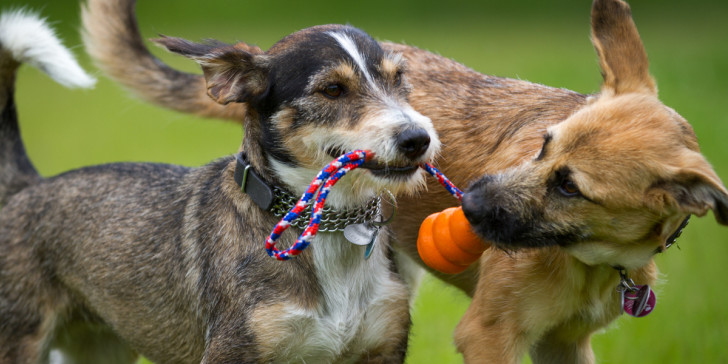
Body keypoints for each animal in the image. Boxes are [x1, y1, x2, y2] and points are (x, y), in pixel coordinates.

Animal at [0, 5, 438, 364]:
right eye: (332, 89)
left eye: (400, 79)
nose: (418, 139)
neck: (327, 227)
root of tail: (28, 186)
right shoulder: (232, 352)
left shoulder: (383, 347)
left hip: (97, 348)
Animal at [81, 0, 728, 362]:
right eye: (542, 144)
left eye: (571, 188)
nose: (469, 201)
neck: (592, 260)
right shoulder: (488, 335)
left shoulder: (565, 344)